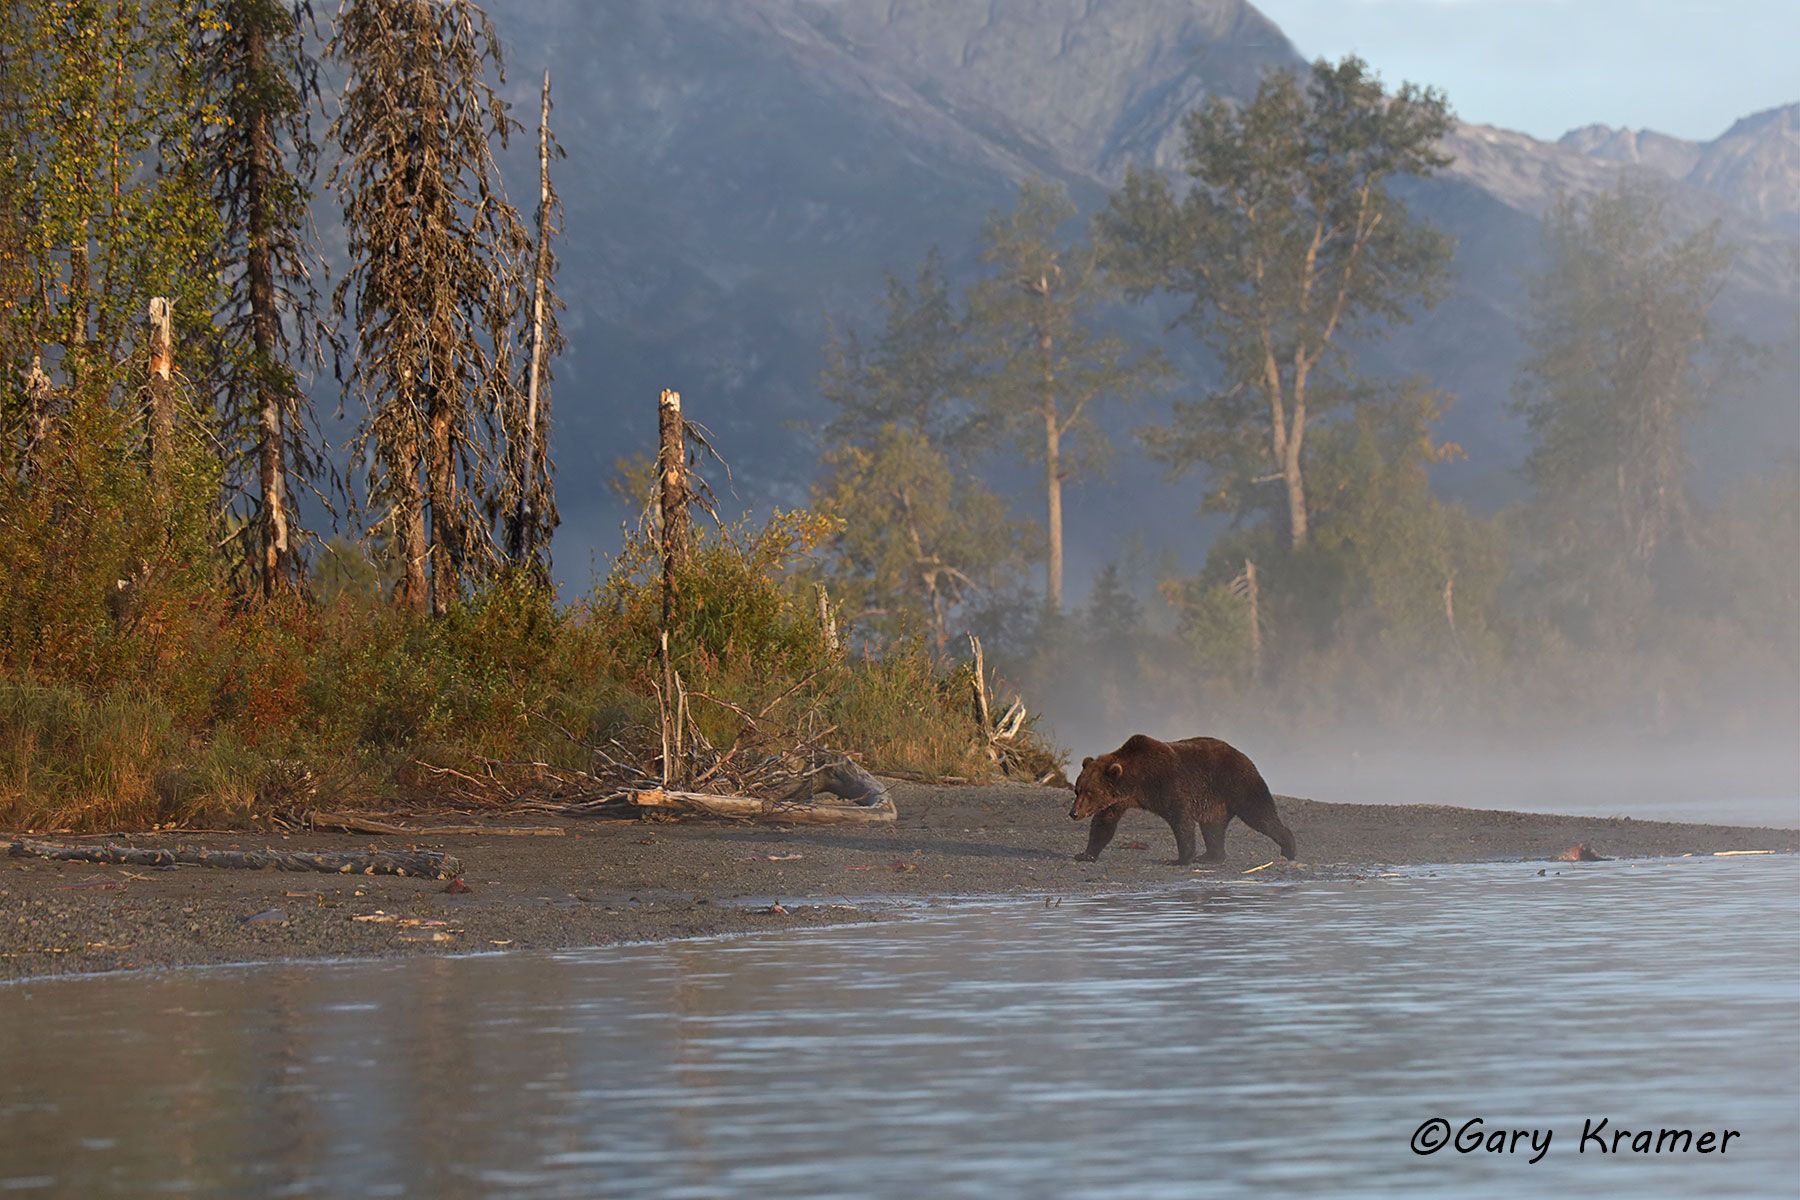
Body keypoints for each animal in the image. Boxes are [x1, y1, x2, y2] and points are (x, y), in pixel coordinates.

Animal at [1070, 733, 1296, 865]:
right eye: (1077, 790)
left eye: (1089, 792)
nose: (1074, 813)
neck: (1137, 781)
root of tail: (1245, 756)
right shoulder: (1117, 801)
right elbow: (1103, 824)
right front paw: (1085, 854)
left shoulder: (1169, 784)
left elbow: (1181, 820)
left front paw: (1180, 859)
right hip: (1215, 802)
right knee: (1213, 828)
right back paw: (1211, 856)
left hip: (1237, 783)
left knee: (1260, 814)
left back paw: (1289, 848)